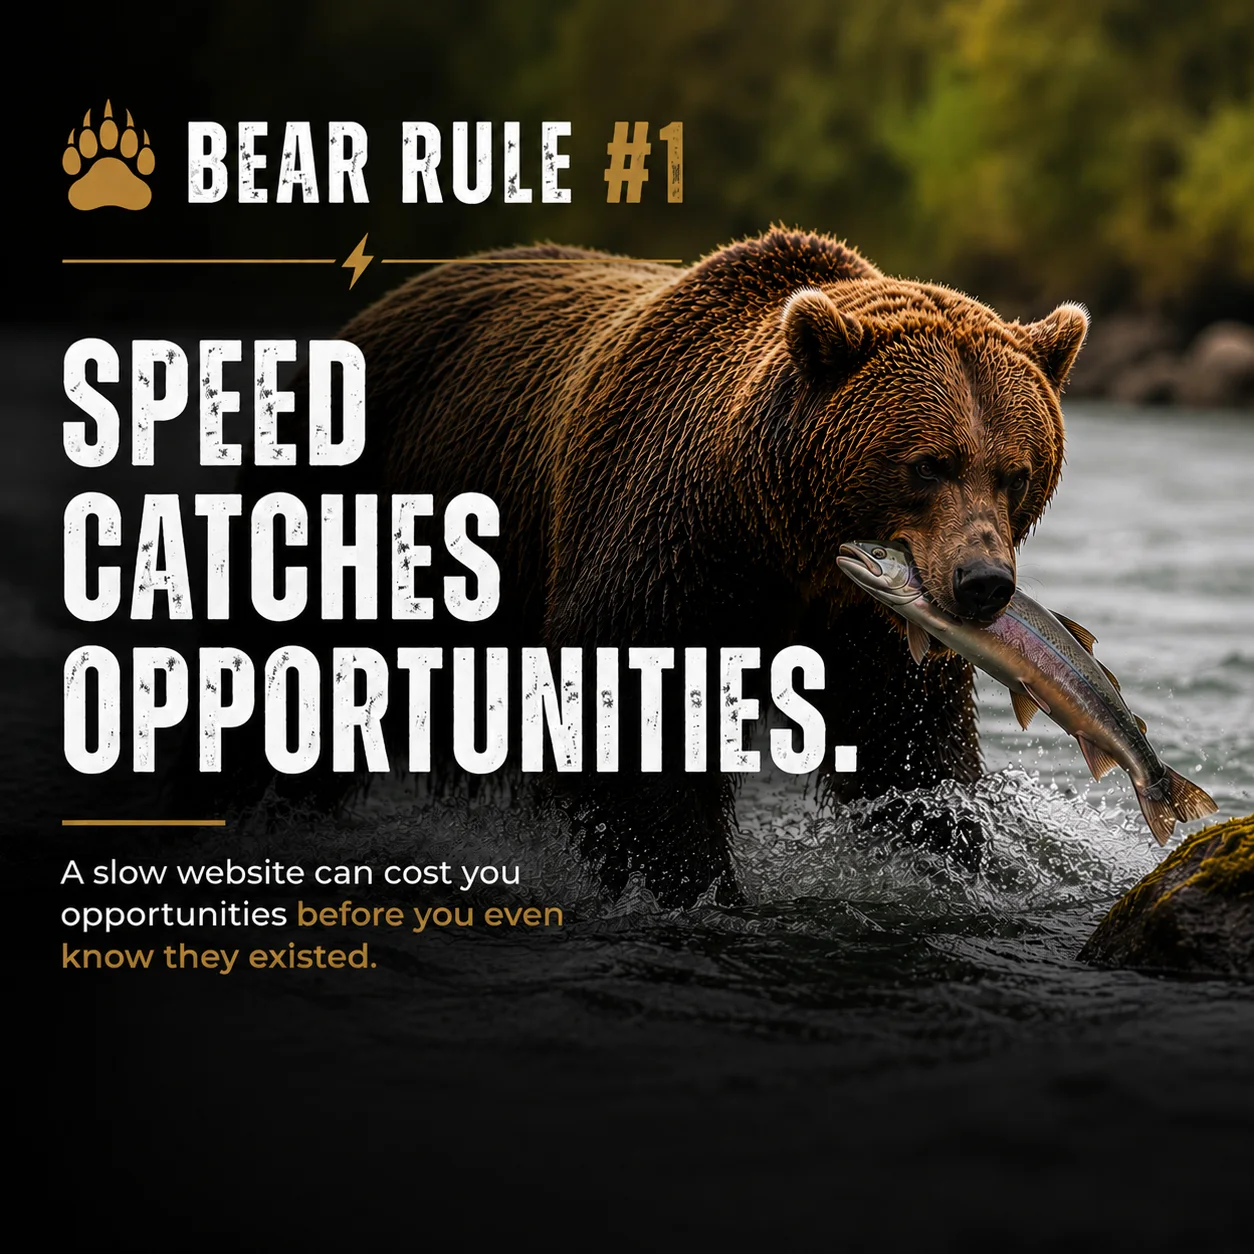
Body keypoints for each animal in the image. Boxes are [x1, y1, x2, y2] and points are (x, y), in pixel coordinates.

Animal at [189, 228, 1088, 908]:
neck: (779, 537)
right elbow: (630, 731)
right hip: (343, 509)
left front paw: (973, 855)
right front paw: (695, 884)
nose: (983, 584)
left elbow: (909, 749)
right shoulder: (666, 545)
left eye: (1016, 470)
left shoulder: (865, 626)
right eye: (928, 463)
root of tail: (383, 307)